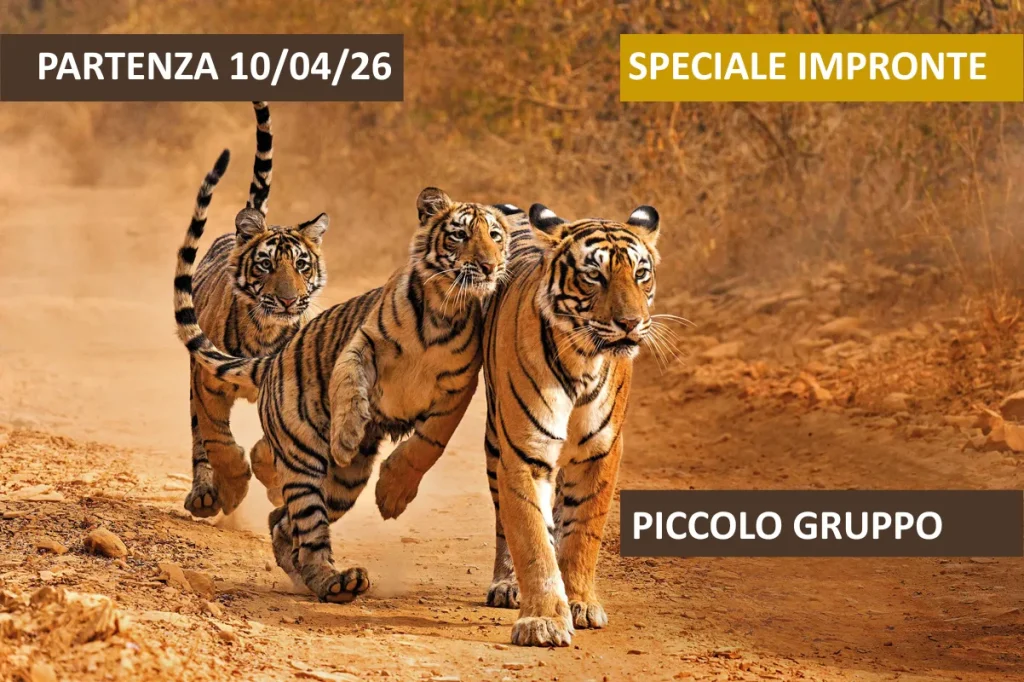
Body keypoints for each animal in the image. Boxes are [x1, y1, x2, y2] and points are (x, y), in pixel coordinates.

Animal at [174, 157, 515, 602]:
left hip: (344, 484)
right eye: (459, 235)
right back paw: (334, 580)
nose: (489, 266)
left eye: (495, 236)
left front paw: (392, 495)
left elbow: (429, 443)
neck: (443, 307)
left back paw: (322, 578)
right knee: (304, 523)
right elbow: (350, 384)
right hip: (304, 460)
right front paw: (347, 436)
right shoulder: (363, 342)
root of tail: (272, 361)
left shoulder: (460, 387)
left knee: (284, 524)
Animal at [182, 103, 331, 519]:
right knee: (200, 439)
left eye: (302, 265)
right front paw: (232, 491)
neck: (266, 330)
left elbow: (273, 445)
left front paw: (274, 482)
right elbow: (218, 441)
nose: (288, 300)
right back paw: (205, 495)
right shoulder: (207, 382)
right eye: (266, 265)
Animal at [375, 201, 662, 647]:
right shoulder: (524, 451)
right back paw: (508, 584)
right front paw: (543, 619)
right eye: (594, 275)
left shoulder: (600, 453)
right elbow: (531, 537)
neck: (583, 360)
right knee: (505, 520)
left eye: (641, 274)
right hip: (497, 442)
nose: (631, 323)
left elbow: (583, 532)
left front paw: (580, 603)